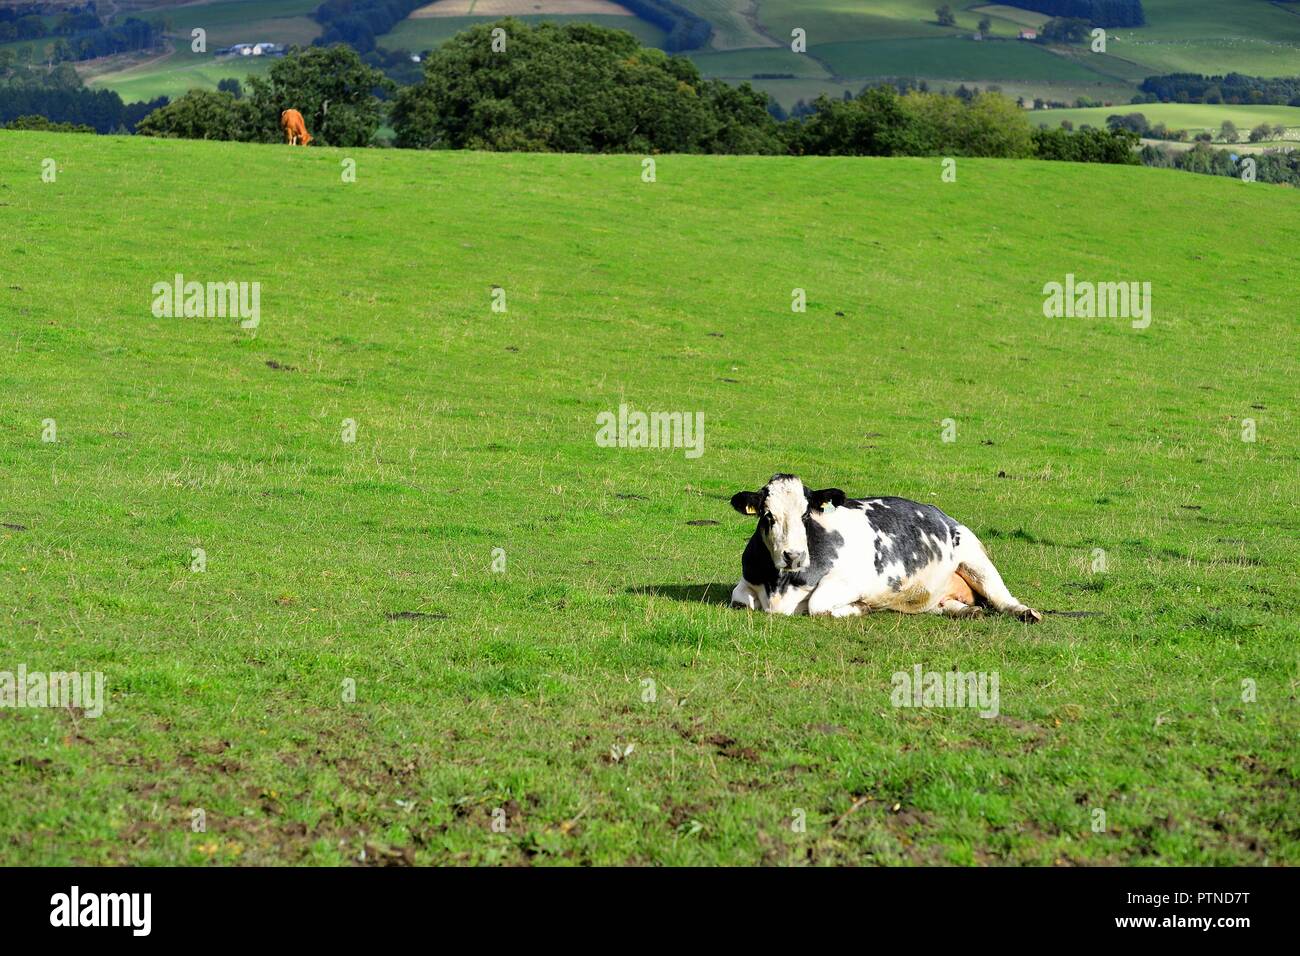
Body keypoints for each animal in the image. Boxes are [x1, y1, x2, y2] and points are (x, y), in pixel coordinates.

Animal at [733, 473, 1045, 621]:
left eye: (806, 514)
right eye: (767, 515)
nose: (793, 555)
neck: (780, 585)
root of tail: (941, 513)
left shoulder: (852, 580)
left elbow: (817, 604)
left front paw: (859, 608)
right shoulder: (747, 583)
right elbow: (740, 599)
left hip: (975, 556)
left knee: (1002, 598)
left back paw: (1026, 613)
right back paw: (966, 612)